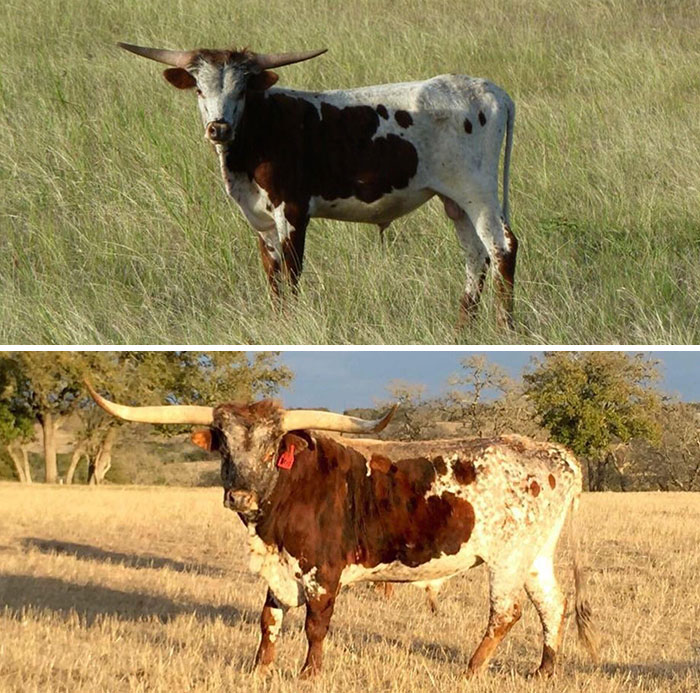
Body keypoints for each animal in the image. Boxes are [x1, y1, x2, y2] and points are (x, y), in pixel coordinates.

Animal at [117, 41, 516, 328]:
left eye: (241, 91)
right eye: (199, 89)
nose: (219, 128)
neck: (261, 128)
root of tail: (492, 90)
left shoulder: (292, 211)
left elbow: (292, 273)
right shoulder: (261, 221)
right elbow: (273, 275)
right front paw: (278, 324)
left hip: (477, 193)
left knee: (502, 247)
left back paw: (504, 328)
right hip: (455, 201)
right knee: (475, 255)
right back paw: (463, 329)